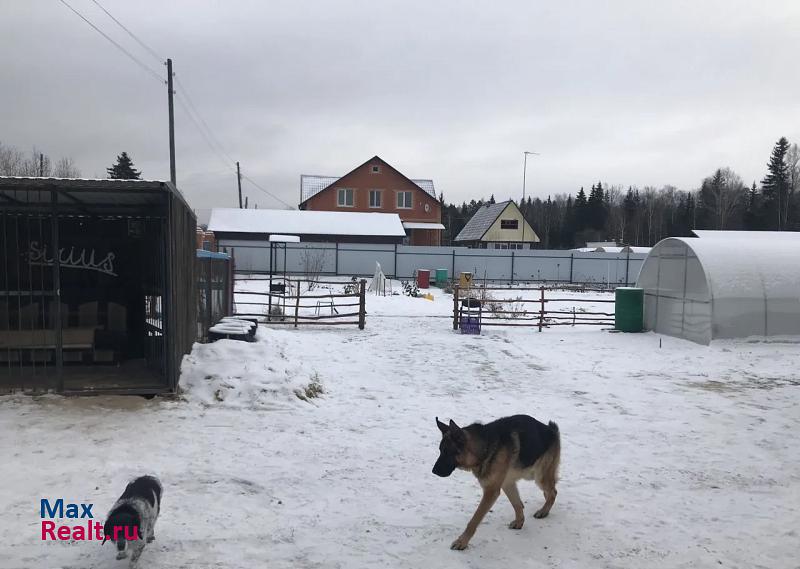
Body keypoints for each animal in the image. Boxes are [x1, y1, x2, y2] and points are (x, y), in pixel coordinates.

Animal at [434, 414, 560, 548]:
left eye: (447, 452)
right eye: (440, 451)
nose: (433, 471)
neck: (483, 449)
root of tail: (551, 429)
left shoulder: (491, 491)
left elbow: (475, 519)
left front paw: (462, 541)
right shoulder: (506, 484)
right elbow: (517, 504)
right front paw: (519, 522)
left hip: (539, 476)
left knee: (553, 492)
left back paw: (544, 511)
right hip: (524, 476)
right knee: (546, 492)